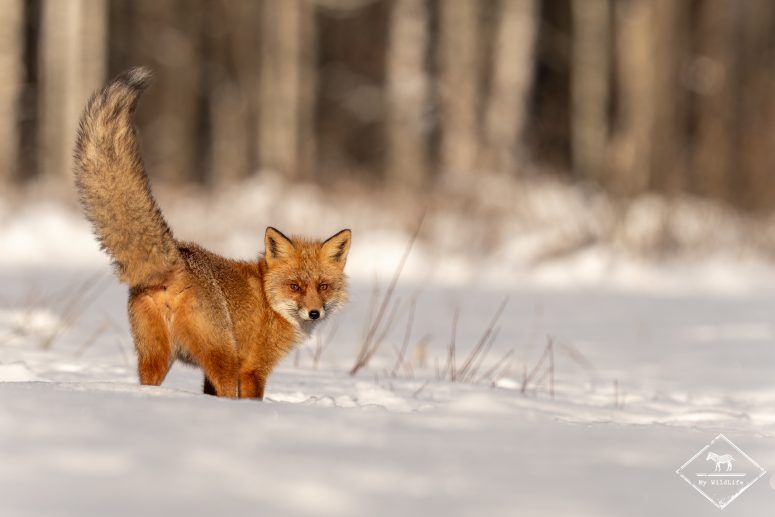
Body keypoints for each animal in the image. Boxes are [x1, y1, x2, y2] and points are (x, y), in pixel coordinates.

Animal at [73, 67, 351, 399]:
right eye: (295, 286)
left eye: (323, 286)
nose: (314, 313)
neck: (269, 302)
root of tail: (178, 259)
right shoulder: (253, 370)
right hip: (224, 358)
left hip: (156, 358)